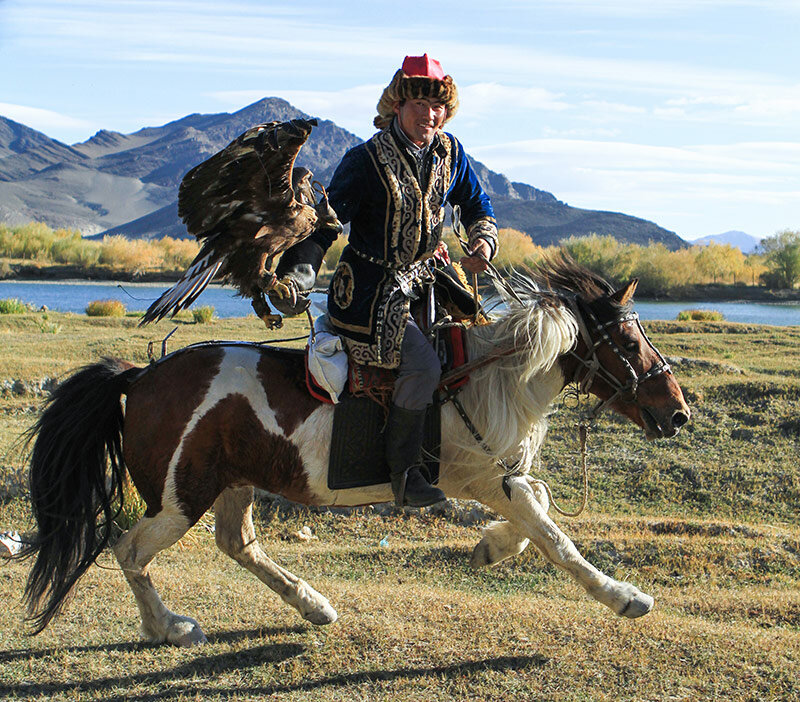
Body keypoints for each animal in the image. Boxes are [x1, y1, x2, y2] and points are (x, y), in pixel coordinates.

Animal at [23, 260, 688, 648]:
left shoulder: (501, 478)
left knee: (238, 544)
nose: (677, 413)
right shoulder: (479, 478)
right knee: (129, 550)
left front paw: (491, 547)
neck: (488, 379)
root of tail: (140, 376)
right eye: (628, 339)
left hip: (232, 482)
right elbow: (555, 537)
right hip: (180, 497)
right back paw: (169, 627)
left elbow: (541, 508)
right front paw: (624, 597)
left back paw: (313, 605)